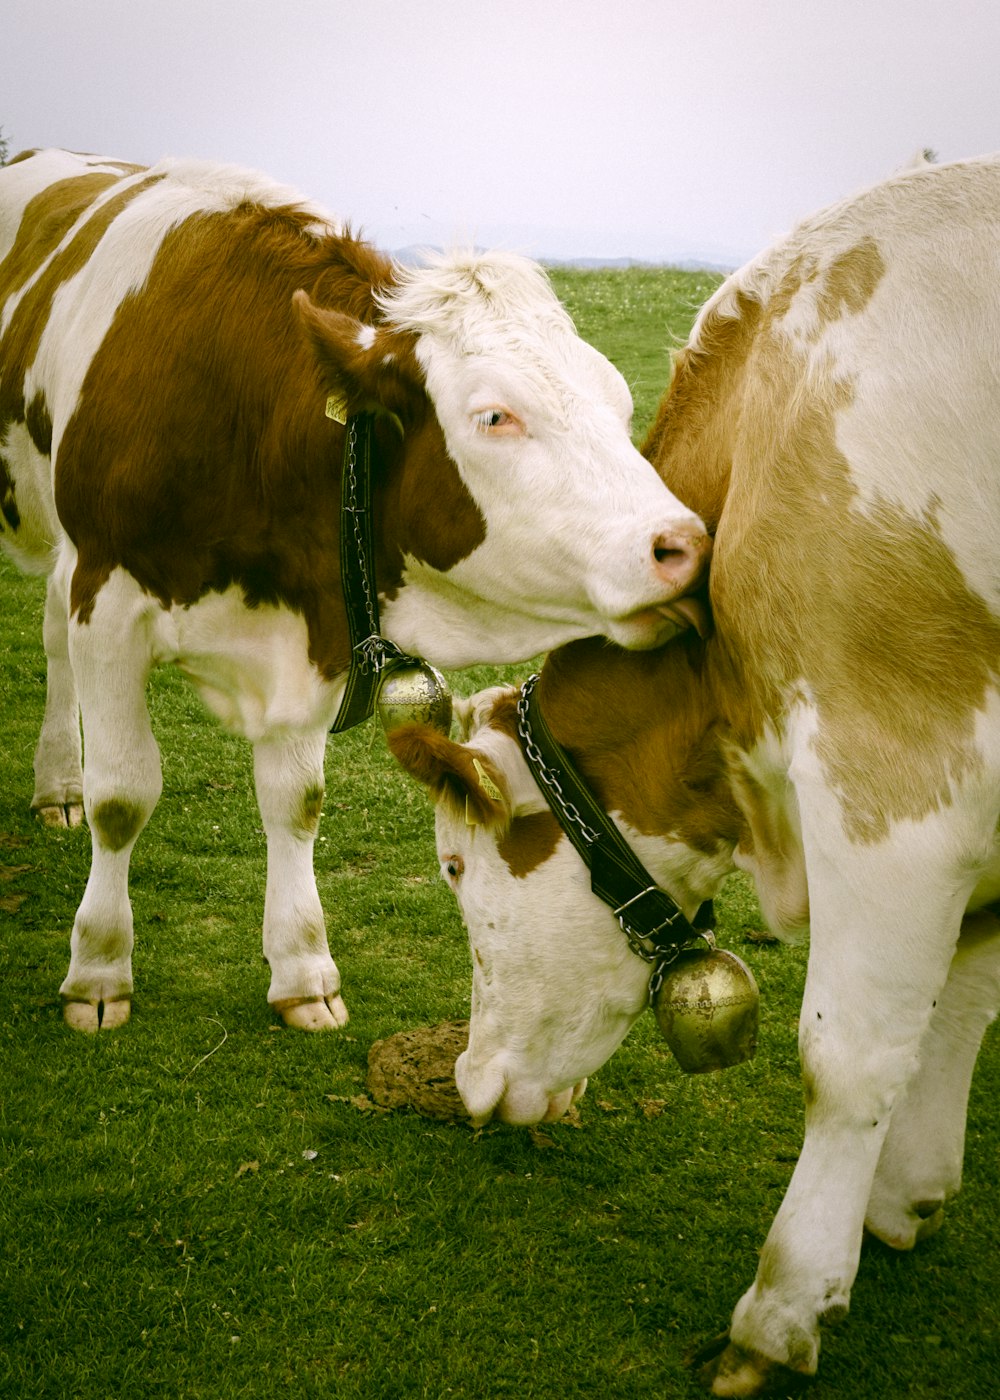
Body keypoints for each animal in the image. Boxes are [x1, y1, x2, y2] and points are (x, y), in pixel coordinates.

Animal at [0, 150, 708, 1041]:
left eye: (619, 404)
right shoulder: (109, 597)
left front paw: (303, 969)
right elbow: (123, 795)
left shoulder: (318, 622)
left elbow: (296, 800)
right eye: (495, 417)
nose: (685, 548)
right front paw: (97, 973)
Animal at [386, 150, 997, 1388]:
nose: (468, 1084)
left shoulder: (895, 784)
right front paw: (906, 1194)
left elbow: (849, 1058)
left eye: (456, 871)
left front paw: (781, 1309)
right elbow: (961, 999)